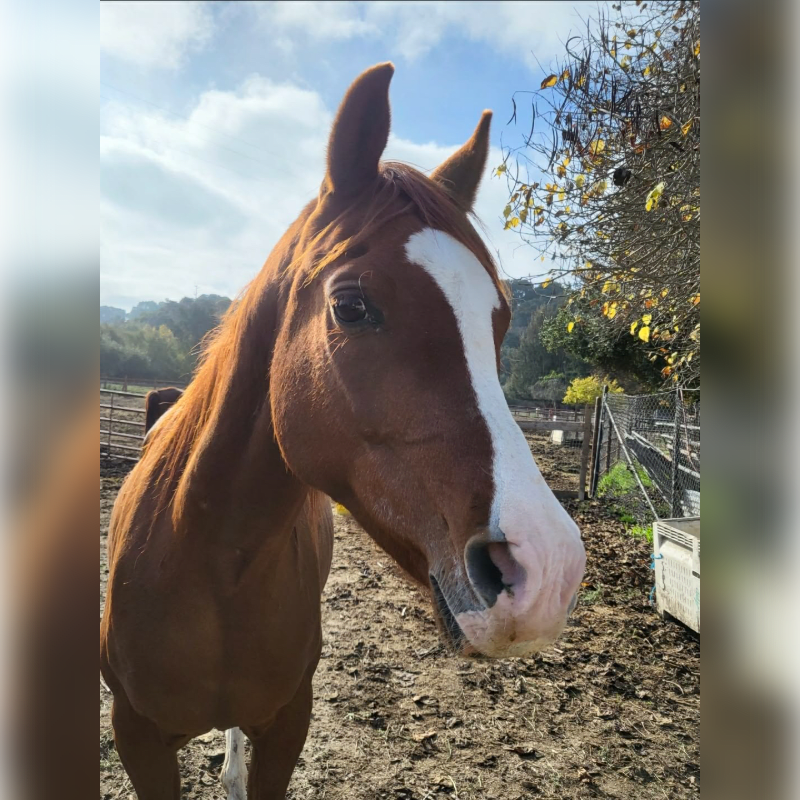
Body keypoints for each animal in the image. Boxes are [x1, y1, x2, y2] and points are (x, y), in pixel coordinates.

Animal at [100, 62, 586, 800]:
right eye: (352, 306)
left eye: (499, 319)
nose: (546, 570)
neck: (206, 564)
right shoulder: (137, 740)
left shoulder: (286, 728)